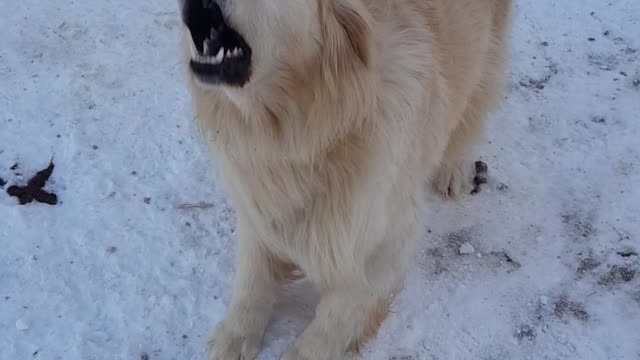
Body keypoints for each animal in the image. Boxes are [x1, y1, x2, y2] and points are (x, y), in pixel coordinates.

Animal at [178, 1, 512, 358]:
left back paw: (454, 168)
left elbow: (336, 317)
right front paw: (237, 333)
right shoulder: (260, 213)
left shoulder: (382, 246)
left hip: (484, 53)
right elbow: (252, 280)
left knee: (471, 109)